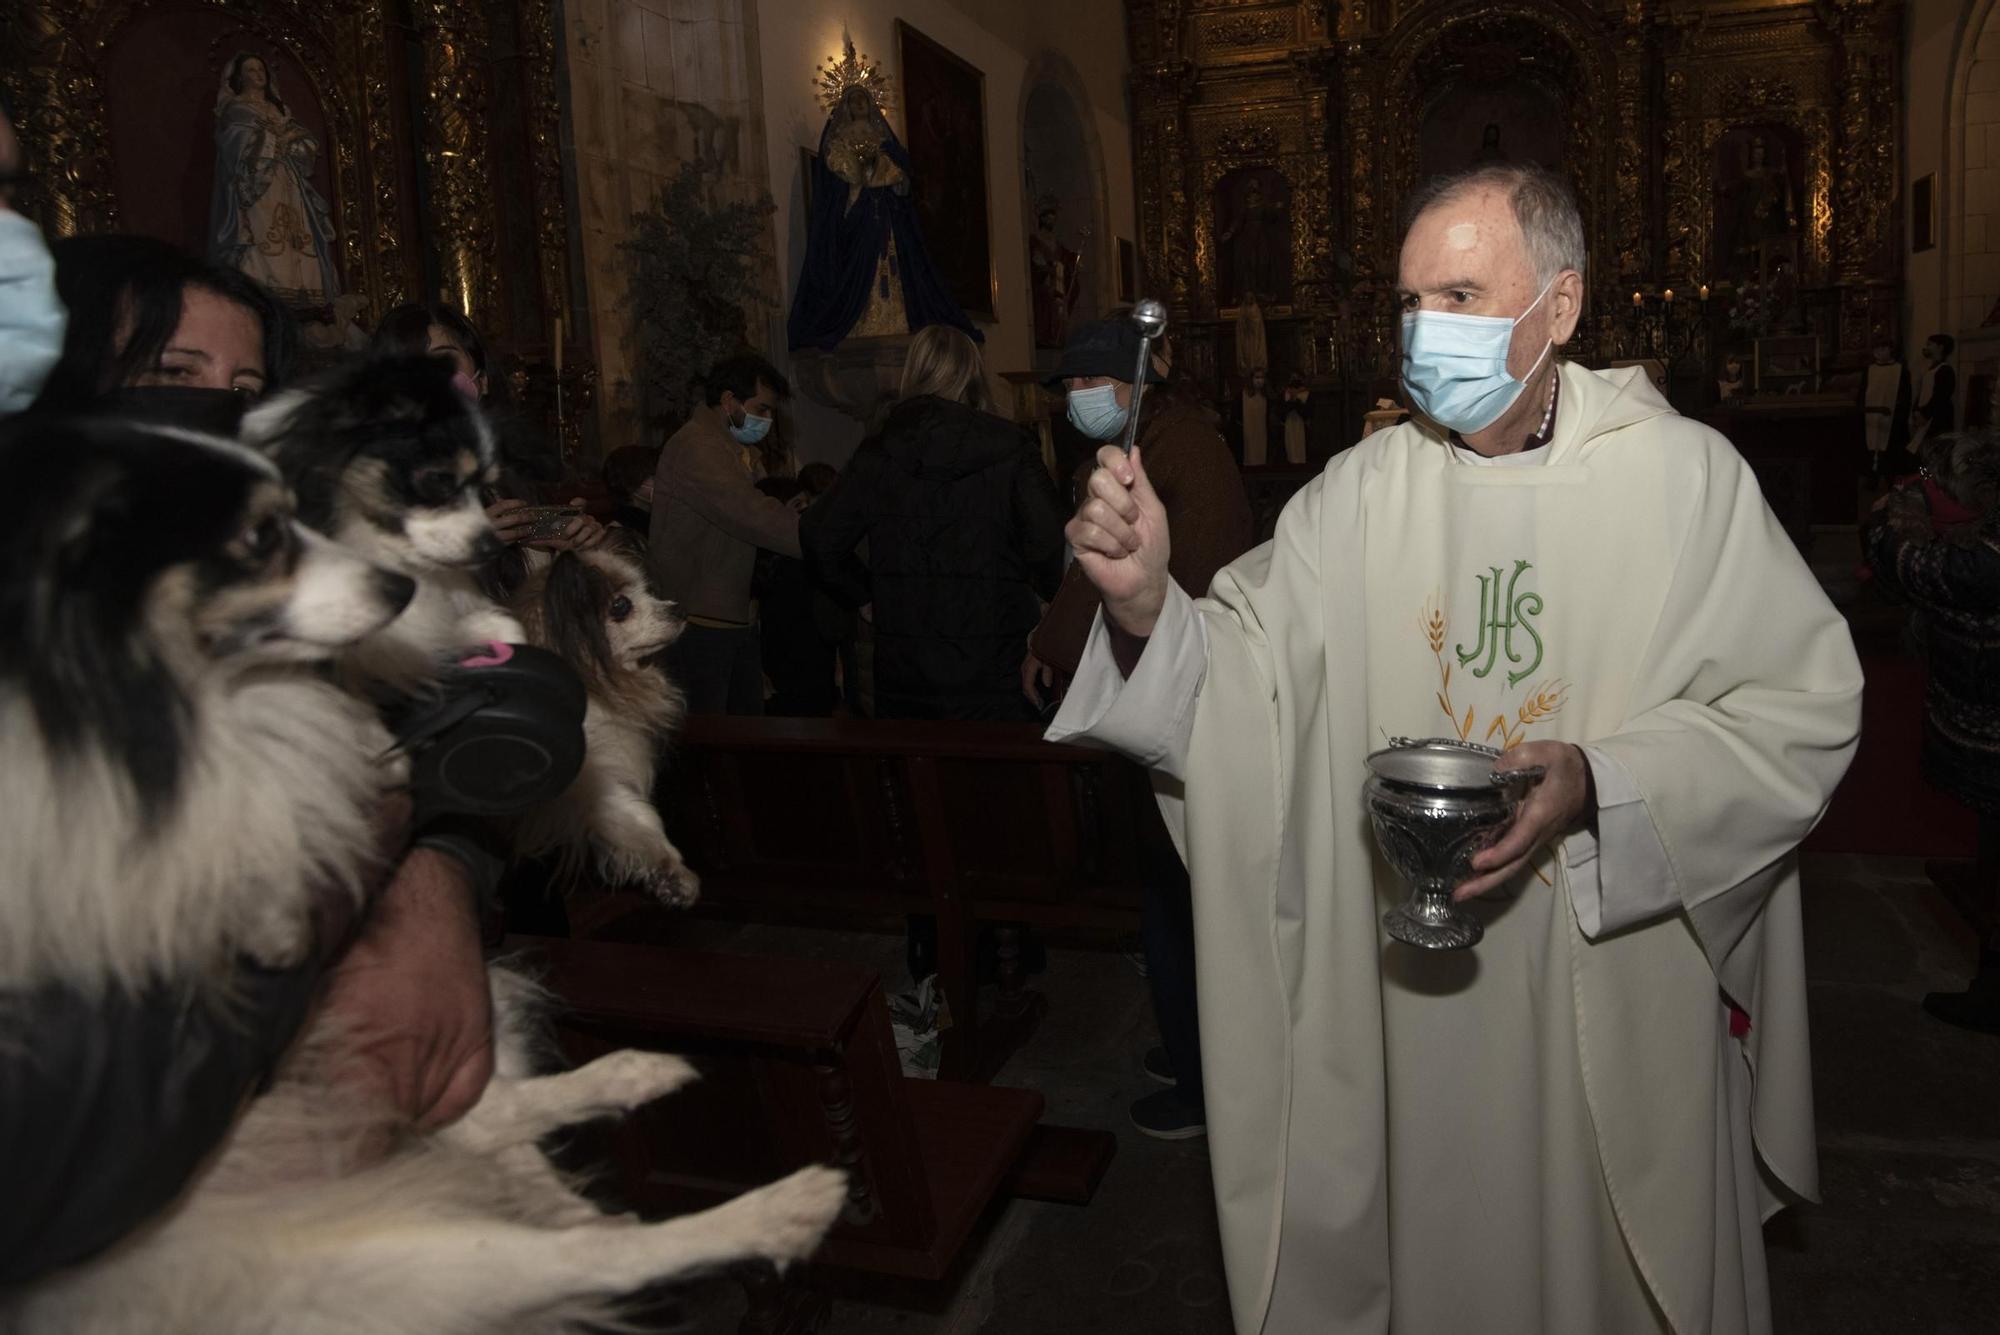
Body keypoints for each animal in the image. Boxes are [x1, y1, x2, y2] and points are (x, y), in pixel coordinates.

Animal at [0, 413, 844, 1327]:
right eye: (622, 606)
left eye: (646, 591)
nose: (682, 609)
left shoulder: (599, 783)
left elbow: (638, 822)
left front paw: (669, 873)